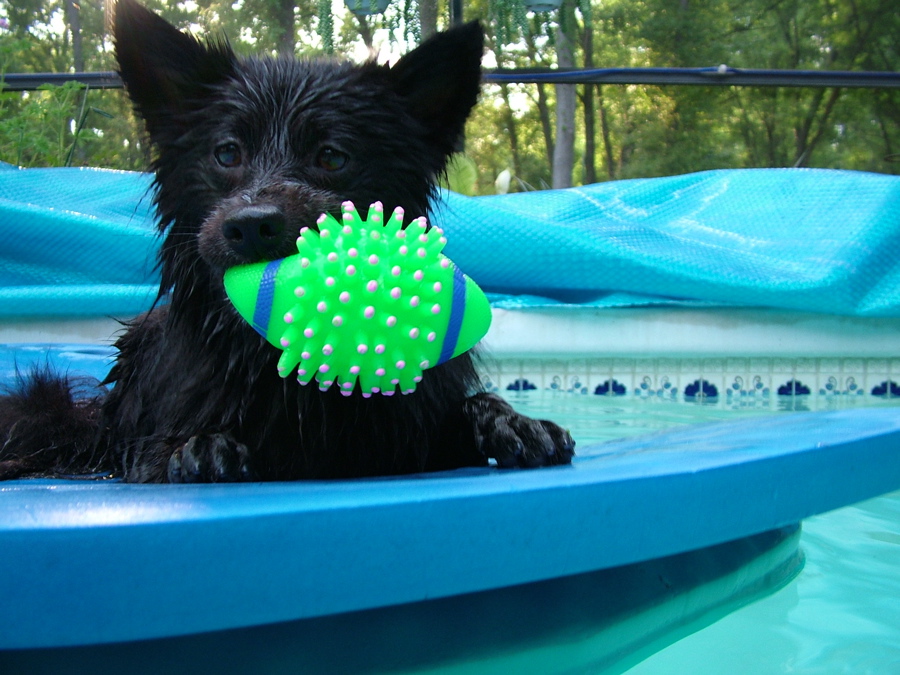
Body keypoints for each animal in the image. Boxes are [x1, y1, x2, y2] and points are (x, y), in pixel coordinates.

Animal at [0, 1, 576, 486]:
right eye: (227, 153)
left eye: (332, 156)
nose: (252, 226)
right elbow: (162, 450)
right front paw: (201, 446)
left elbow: (469, 409)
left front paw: (514, 422)